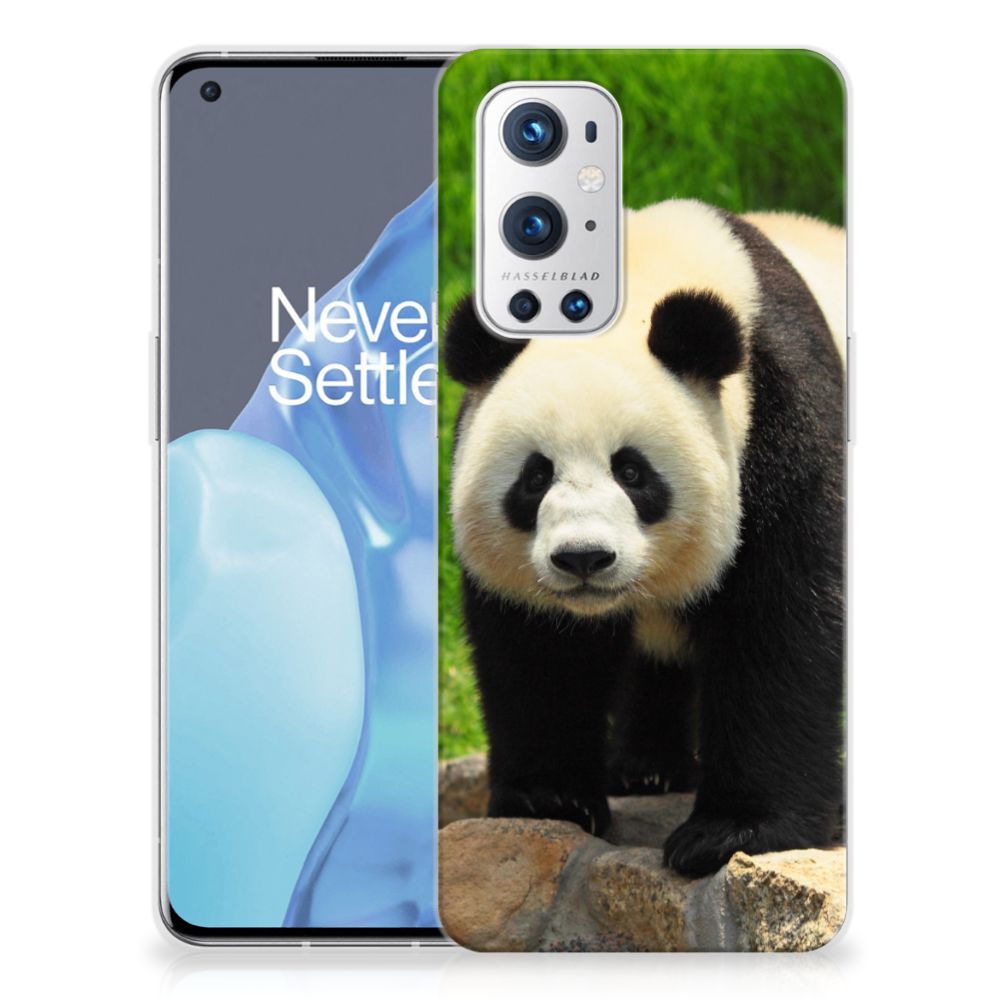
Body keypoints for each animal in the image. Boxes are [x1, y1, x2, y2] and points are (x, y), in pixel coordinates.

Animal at [443, 199, 845, 878]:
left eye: (632, 472)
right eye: (535, 476)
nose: (583, 558)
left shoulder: (785, 422)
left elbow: (781, 624)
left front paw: (731, 832)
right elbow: (537, 650)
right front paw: (550, 799)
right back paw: (646, 769)